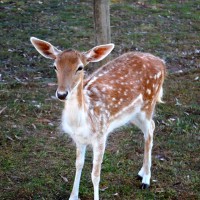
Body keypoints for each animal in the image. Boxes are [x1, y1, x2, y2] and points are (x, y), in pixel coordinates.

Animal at [30, 36, 166, 200]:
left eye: (80, 67)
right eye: (55, 66)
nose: (62, 94)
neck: (82, 121)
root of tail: (161, 62)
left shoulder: (101, 135)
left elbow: (95, 175)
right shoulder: (78, 139)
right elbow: (78, 164)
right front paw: (73, 196)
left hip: (149, 103)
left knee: (150, 130)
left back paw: (146, 179)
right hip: (133, 114)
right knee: (150, 127)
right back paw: (141, 172)